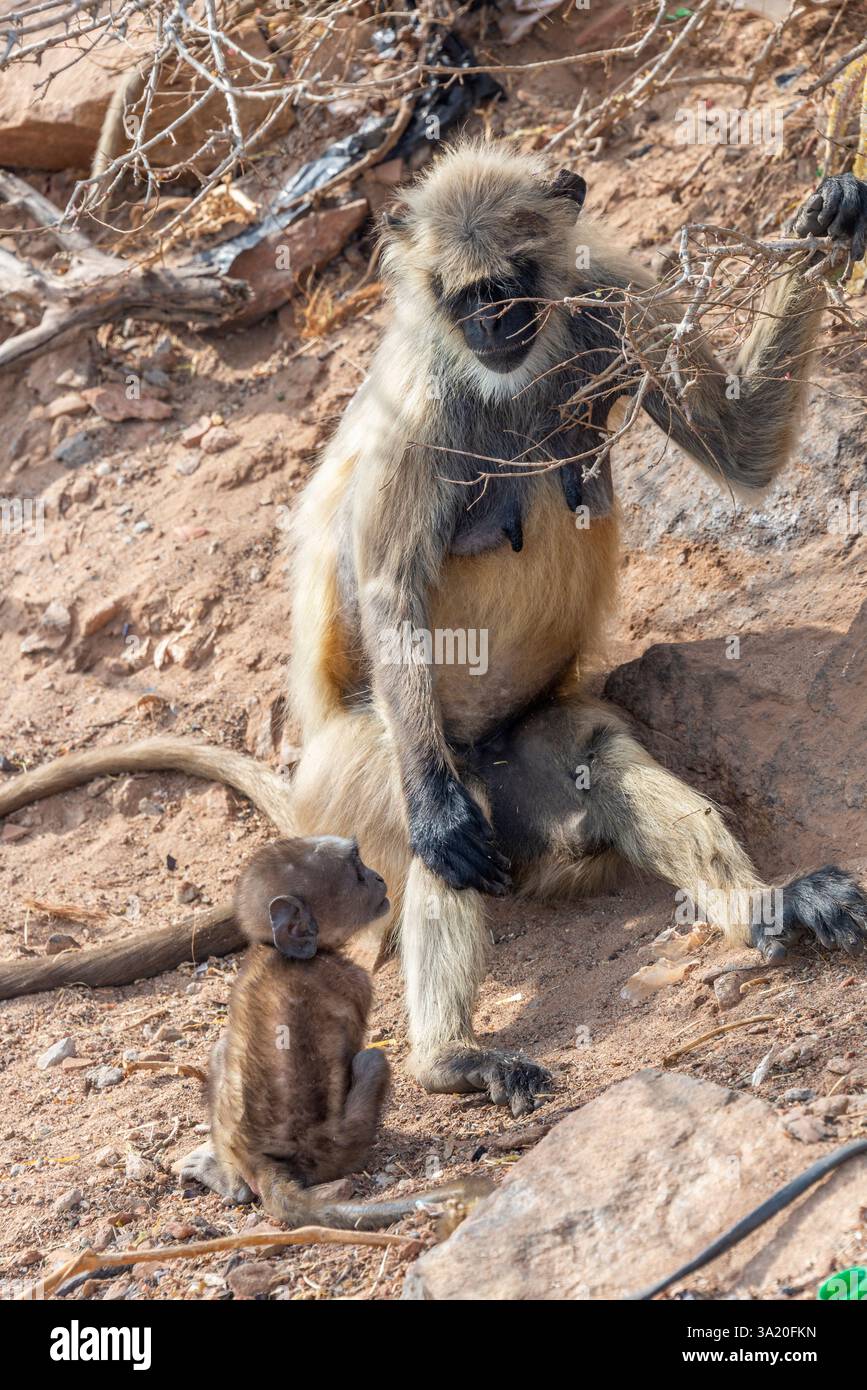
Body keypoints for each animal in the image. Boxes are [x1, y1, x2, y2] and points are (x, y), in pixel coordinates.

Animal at [3, 145, 867, 1117]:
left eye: (511, 283)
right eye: (462, 298)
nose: (492, 328)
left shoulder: (611, 291)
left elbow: (740, 446)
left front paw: (829, 216)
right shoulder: (419, 397)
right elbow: (387, 592)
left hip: (524, 755)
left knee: (598, 758)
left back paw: (768, 908)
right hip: (366, 770)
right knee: (441, 837)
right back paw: (446, 1057)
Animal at [178, 835, 490, 1228]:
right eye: (356, 871)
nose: (377, 877)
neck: (286, 954)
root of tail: (265, 1162)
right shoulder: (354, 981)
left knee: (221, 1054)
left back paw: (224, 1178)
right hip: (338, 1146)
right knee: (372, 1060)